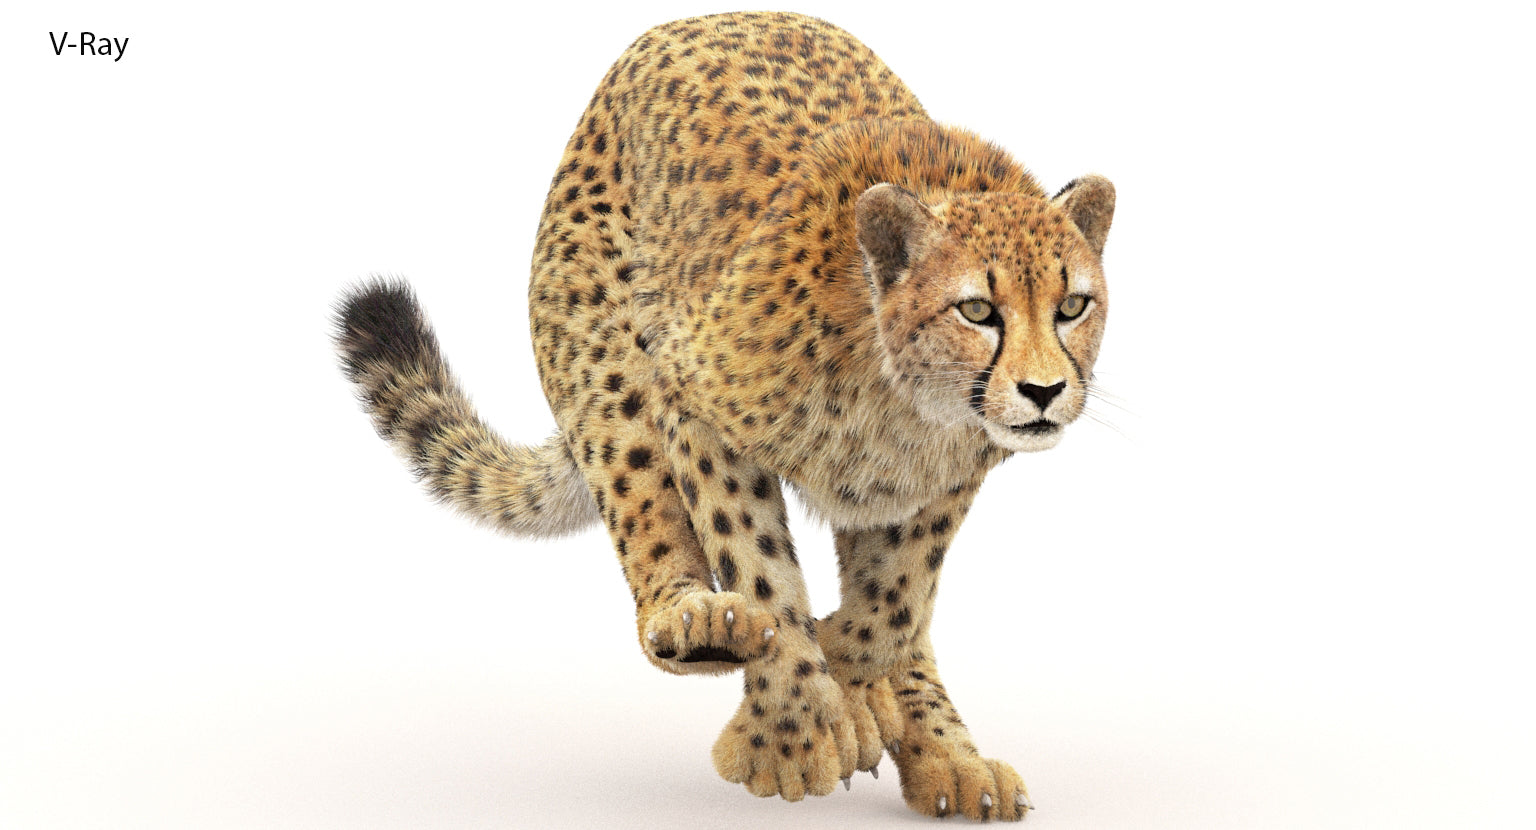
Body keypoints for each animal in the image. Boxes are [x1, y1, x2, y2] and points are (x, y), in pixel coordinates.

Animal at [334, 10, 1114, 822]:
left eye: (1072, 305)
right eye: (978, 310)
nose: (1045, 390)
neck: (900, 402)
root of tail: (694, 19)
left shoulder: (940, 480)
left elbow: (897, 602)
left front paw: (854, 679)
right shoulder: (693, 405)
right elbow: (759, 563)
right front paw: (797, 730)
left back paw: (947, 755)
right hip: (610, 367)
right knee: (646, 516)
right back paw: (699, 623)